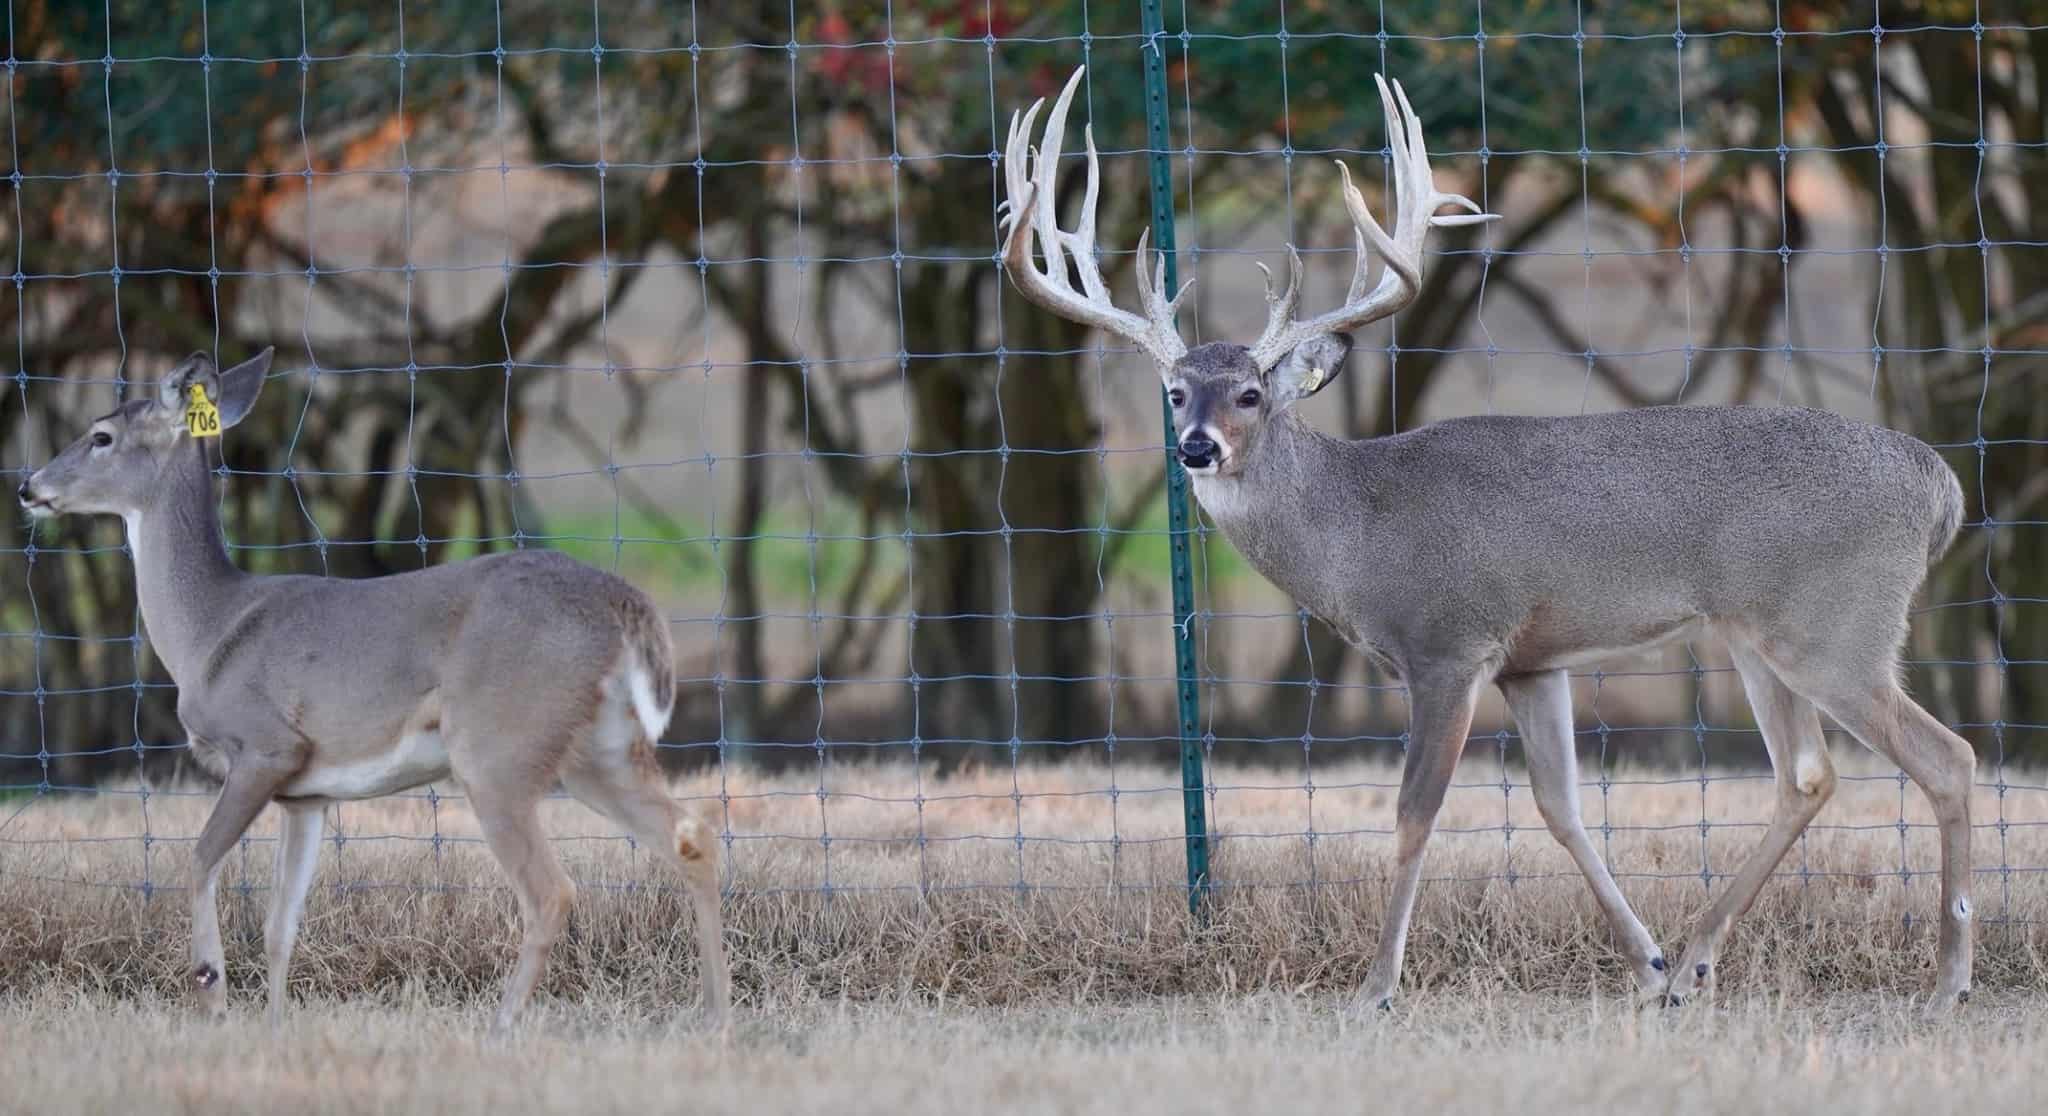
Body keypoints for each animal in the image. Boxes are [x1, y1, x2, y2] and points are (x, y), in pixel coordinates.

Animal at [17, 348, 731, 1031]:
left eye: (102, 436)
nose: (27, 487)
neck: (207, 629)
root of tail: (621, 602)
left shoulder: (265, 745)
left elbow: (197, 859)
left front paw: (212, 994)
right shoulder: (307, 796)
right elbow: (280, 925)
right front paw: (273, 1030)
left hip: (497, 746)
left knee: (551, 891)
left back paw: (501, 1026)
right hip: (597, 746)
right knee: (692, 838)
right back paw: (712, 1017)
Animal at [998, 66, 1975, 1013]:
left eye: (1250, 394)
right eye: (1174, 393)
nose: (1197, 448)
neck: (1356, 528)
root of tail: (1941, 488)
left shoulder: (1448, 643)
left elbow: (1413, 814)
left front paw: (1375, 990)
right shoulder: (1531, 662)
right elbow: (1560, 807)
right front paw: (1647, 964)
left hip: (1834, 626)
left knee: (1947, 757)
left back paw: (1947, 983)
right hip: (1757, 635)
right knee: (1806, 774)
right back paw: (1697, 962)